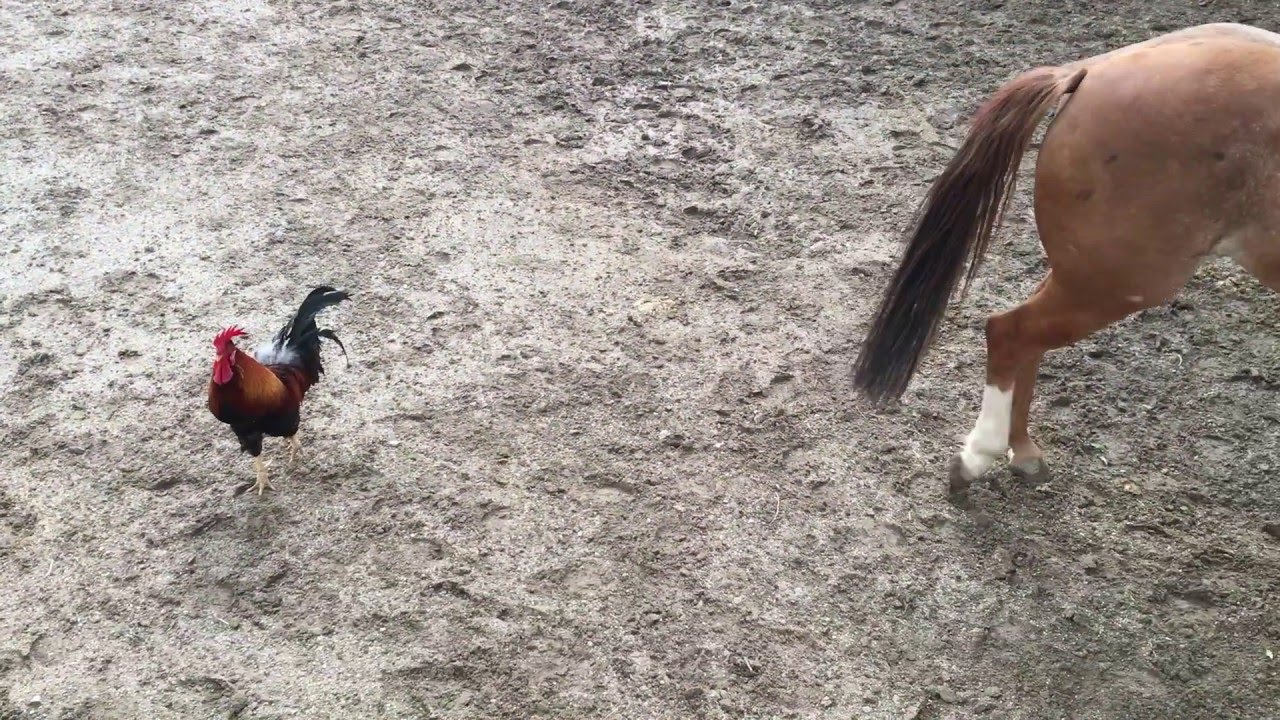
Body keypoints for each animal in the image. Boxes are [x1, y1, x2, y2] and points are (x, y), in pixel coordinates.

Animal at [852, 23, 1280, 501]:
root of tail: (1089, 70)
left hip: (1084, 273)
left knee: (1023, 333)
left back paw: (1021, 451)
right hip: (1118, 280)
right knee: (1009, 330)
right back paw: (977, 457)